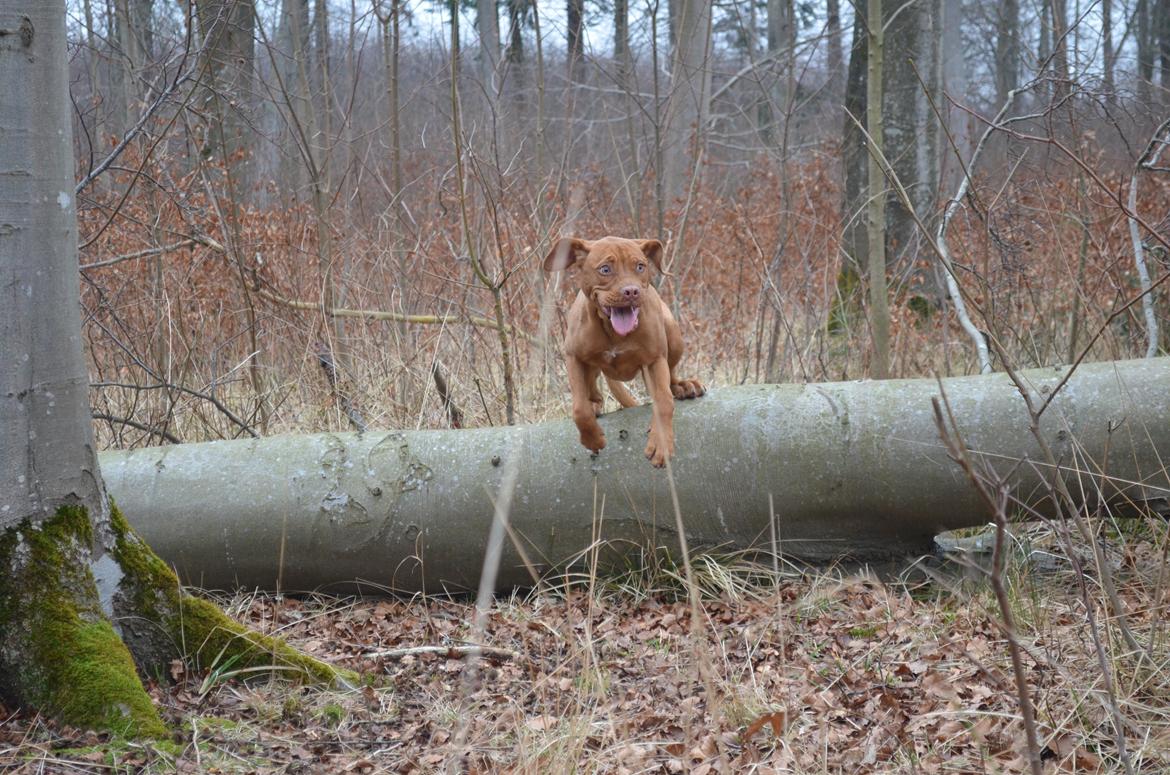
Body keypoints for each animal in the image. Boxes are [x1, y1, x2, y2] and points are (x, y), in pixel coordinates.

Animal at [545, 236, 702, 468]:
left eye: (640, 266)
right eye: (605, 269)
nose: (631, 291)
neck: (613, 331)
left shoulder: (655, 360)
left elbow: (664, 400)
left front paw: (661, 443)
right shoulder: (573, 357)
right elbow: (579, 408)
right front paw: (592, 438)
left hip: (672, 331)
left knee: (671, 373)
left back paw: (682, 385)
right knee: (591, 391)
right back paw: (595, 404)